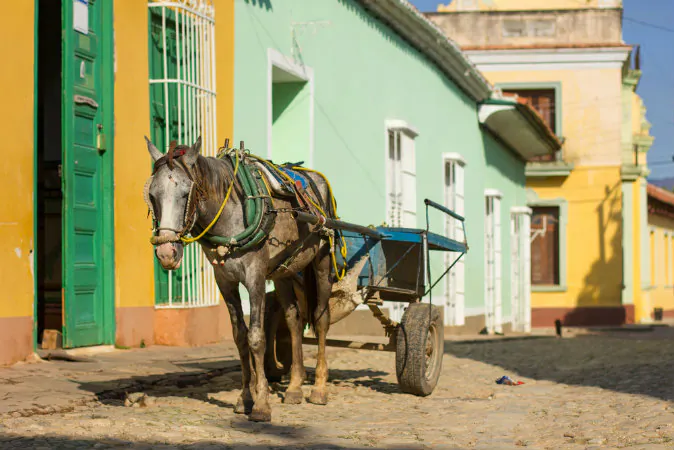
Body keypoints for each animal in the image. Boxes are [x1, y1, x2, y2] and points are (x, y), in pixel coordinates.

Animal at [144, 136, 337, 422]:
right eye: (152, 195)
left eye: (185, 193)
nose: (166, 252)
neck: (230, 215)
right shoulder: (225, 282)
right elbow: (239, 337)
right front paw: (245, 397)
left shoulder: (255, 277)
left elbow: (256, 338)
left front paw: (262, 404)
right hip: (284, 271)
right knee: (293, 318)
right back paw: (294, 387)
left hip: (322, 261)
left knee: (321, 319)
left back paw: (320, 390)